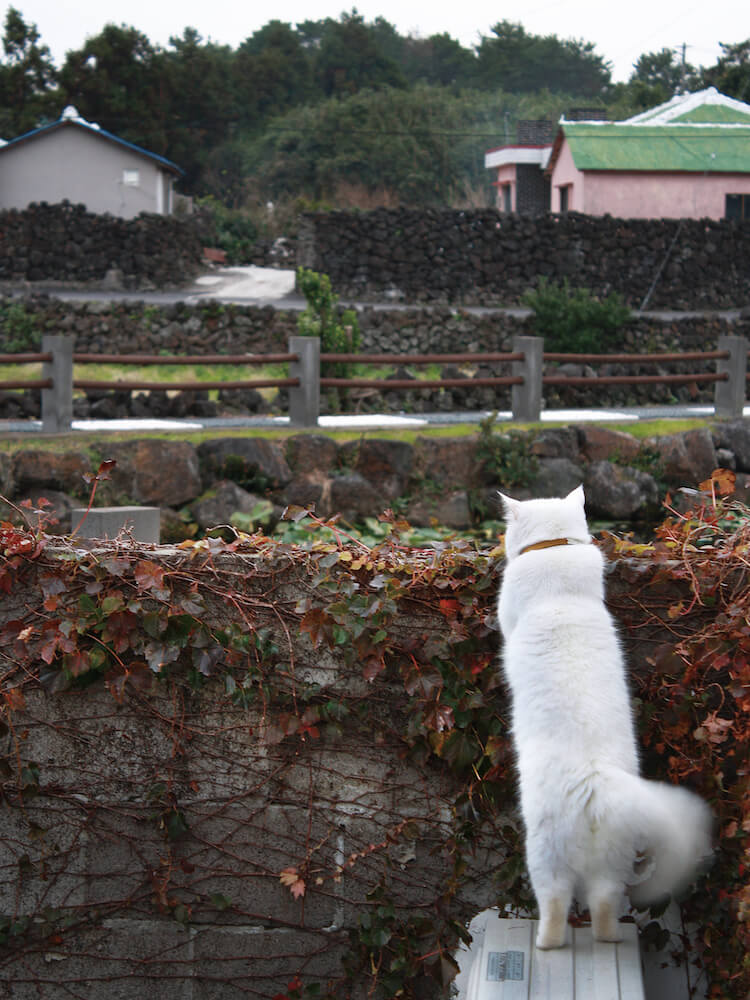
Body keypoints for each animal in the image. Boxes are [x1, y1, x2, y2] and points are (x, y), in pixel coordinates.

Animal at [496, 488, 712, 948]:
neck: (554, 550)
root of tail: (599, 784)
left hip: (545, 854)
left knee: (557, 902)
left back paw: (547, 942)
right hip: (613, 865)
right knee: (604, 904)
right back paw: (609, 938)